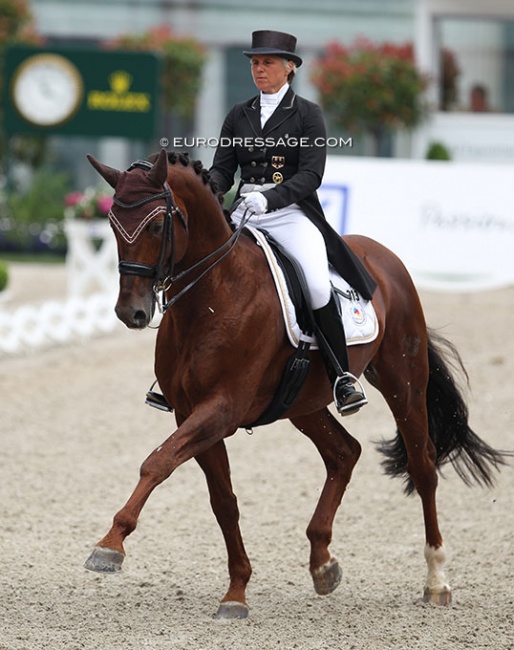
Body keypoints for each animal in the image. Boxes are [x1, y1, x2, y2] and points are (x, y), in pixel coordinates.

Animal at [83, 148, 504, 616]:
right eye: (112, 225)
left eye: (157, 225)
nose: (131, 312)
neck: (213, 295)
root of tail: (383, 257)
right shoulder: (190, 412)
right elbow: (222, 501)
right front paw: (237, 590)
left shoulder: (220, 410)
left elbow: (156, 463)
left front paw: (110, 545)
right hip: (304, 401)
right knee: (344, 453)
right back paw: (323, 564)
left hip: (404, 382)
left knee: (423, 466)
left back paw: (436, 581)